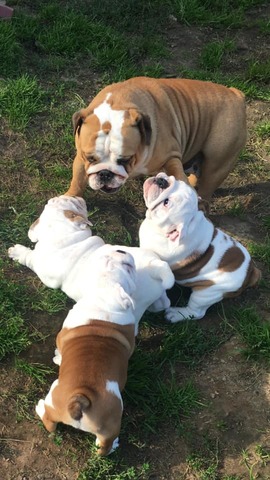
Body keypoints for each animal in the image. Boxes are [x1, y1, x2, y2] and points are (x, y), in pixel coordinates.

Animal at [8, 194, 174, 330]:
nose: (73, 196)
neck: (60, 233)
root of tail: (154, 266)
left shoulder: (42, 269)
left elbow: (29, 257)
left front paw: (16, 252)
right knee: (163, 302)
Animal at [35, 249, 137, 456]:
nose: (122, 249)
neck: (104, 302)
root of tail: (82, 400)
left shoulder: (61, 337)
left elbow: (59, 351)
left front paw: (57, 357)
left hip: (55, 393)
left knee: (50, 423)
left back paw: (40, 408)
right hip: (110, 426)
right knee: (104, 445)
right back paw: (113, 445)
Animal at [65, 75, 247, 202]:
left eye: (125, 159)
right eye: (90, 158)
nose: (105, 174)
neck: (121, 102)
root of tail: (236, 94)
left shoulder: (171, 156)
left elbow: (175, 170)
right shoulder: (80, 157)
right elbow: (78, 181)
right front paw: (69, 199)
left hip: (217, 165)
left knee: (207, 187)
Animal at [139, 172, 262, 322]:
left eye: (166, 203)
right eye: (178, 182)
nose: (162, 181)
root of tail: (250, 273)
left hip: (206, 293)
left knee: (196, 312)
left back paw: (175, 314)